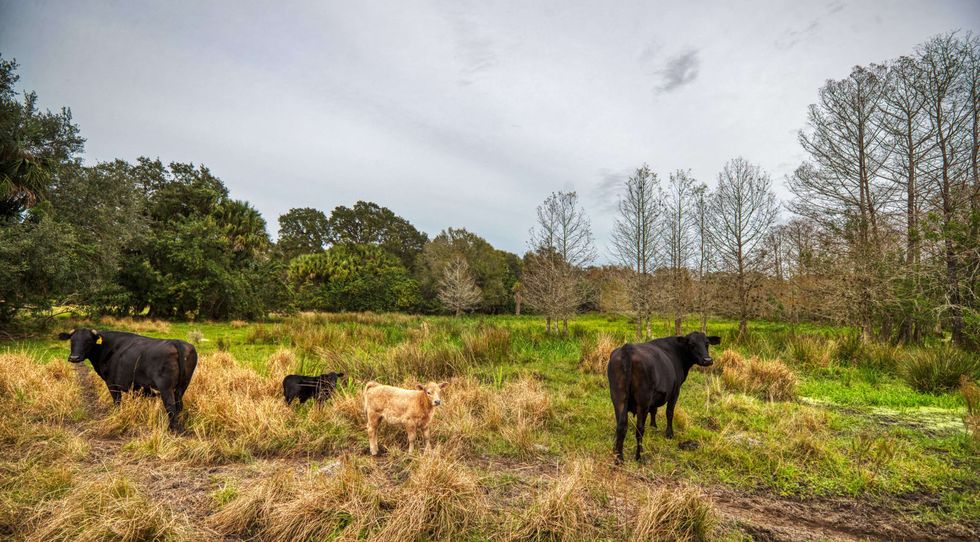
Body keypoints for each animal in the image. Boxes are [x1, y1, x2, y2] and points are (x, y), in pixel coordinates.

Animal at [58, 328, 197, 431]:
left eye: (88, 341)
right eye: (72, 340)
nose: (74, 358)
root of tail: (176, 342)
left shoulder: (112, 383)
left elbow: (117, 401)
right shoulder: (135, 387)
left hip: (165, 387)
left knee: (170, 407)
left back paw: (171, 429)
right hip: (182, 386)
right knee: (179, 406)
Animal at [607, 331, 720, 463]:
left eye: (707, 343)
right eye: (692, 344)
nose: (707, 360)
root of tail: (627, 349)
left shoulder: (656, 395)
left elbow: (654, 410)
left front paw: (653, 426)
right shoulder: (675, 391)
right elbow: (669, 412)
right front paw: (669, 434)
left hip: (617, 397)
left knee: (621, 425)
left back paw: (618, 457)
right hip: (643, 400)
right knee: (639, 428)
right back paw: (639, 456)